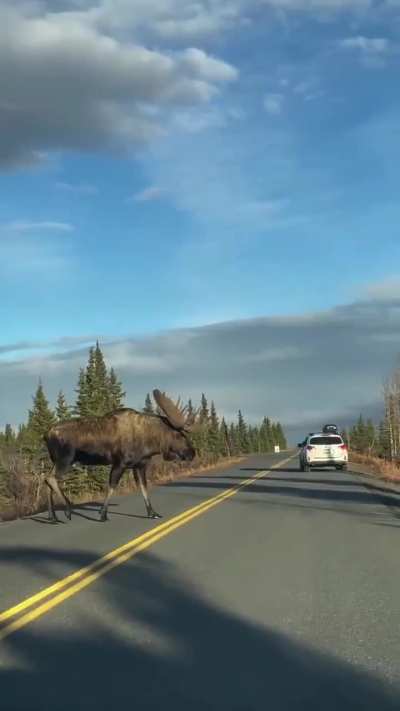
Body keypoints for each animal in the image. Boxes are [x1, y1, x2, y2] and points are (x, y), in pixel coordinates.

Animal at [43, 390, 197, 523]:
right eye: (180, 435)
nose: (192, 453)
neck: (150, 442)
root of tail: (46, 434)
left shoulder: (139, 465)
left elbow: (144, 488)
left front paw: (152, 513)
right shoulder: (120, 463)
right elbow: (112, 486)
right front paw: (102, 514)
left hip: (55, 460)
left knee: (45, 478)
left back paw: (53, 516)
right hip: (66, 458)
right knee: (50, 478)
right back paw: (68, 510)